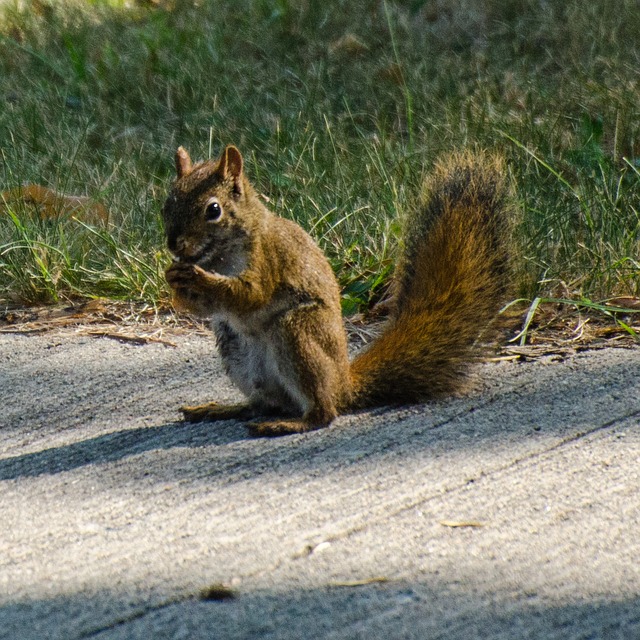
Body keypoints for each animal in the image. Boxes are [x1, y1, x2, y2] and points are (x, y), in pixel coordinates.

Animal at [162, 144, 512, 436]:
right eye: (167, 204)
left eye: (213, 210)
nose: (174, 245)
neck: (219, 256)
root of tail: (344, 384)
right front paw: (174, 278)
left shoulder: (269, 260)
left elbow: (252, 295)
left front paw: (197, 278)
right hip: (234, 346)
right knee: (264, 403)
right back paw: (222, 409)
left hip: (299, 332)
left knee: (323, 412)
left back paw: (291, 423)